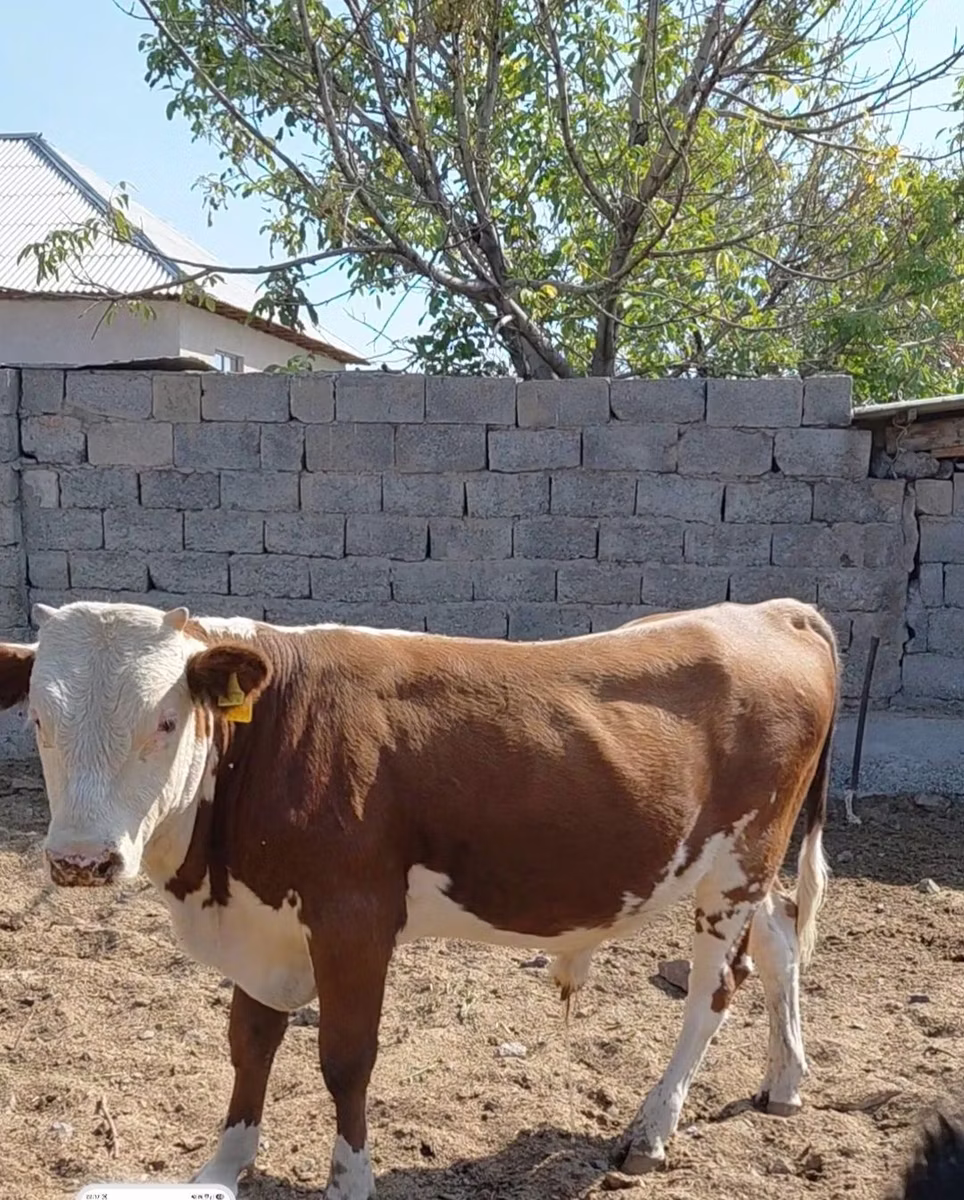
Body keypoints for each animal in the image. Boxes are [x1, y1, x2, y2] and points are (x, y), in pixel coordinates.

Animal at [0, 596, 838, 1199]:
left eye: (167, 722)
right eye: (39, 720)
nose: (81, 862)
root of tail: (772, 611)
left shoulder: (354, 918)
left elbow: (345, 1059)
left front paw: (350, 1180)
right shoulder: (264, 920)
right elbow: (249, 1042)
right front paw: (223, 1166)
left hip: (739, 860)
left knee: (713, 990)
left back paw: (652, 1128)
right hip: (743, 866)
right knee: (780, 939)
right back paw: (786, 1082)